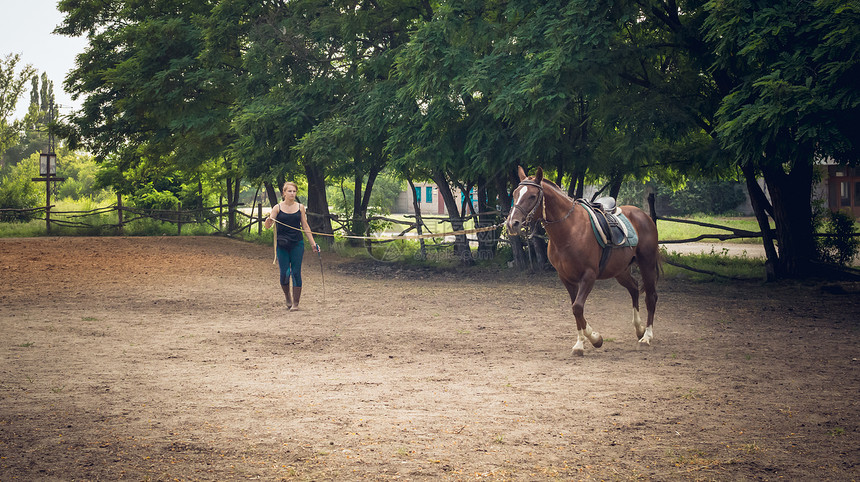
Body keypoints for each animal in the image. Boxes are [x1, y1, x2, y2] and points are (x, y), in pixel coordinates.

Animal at [508, 168, 660, 356]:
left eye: (532, 196)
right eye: (515, 193)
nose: (512, 223)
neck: (569, 230)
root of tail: (643, 215)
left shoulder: (588, 276)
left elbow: (577, 307)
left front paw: (595, 339)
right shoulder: (566, 278)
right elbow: (575, 310)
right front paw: (580, 344)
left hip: (647, 264)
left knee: (651, 297)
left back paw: (646, 337)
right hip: (620, 271)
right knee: (634, 288)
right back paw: (639, 329)